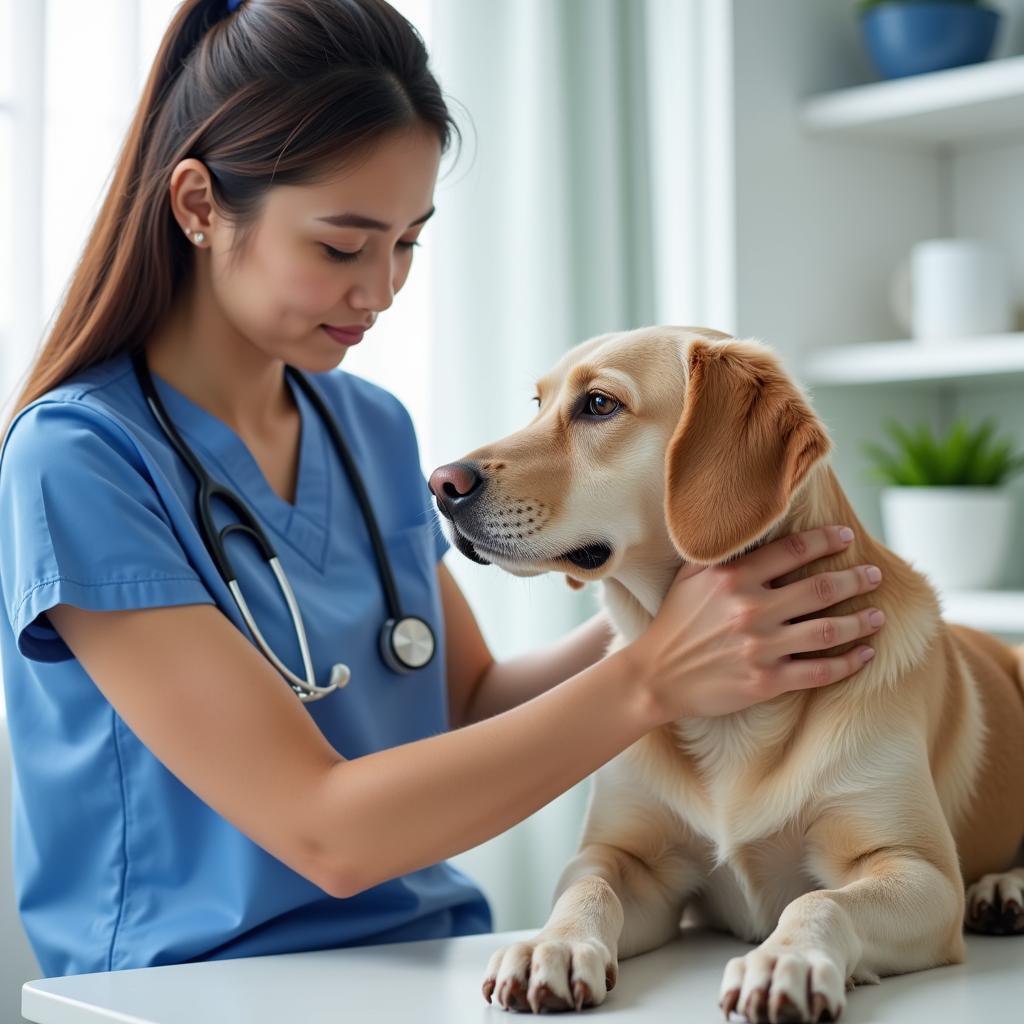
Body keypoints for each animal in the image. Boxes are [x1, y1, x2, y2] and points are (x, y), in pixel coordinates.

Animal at [425, 327, 1024, 1024]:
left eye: (599, 404)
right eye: (537, 403)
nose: (440, 483)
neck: (736, 717)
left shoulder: (917, 869)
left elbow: (820, 899)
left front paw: (786, 960)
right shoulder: (625, 856)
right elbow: (589, 888)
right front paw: (553, 944)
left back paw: (1002, 888)